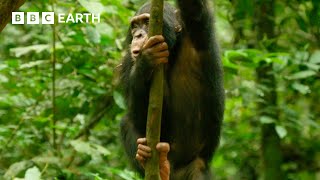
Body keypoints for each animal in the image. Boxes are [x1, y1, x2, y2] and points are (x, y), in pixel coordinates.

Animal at [119, 0, 224, 179]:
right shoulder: (127, 62)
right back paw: (160, 166)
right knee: (126, 123)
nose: (138, 35)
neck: (173, 48)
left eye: (147, 22)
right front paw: (146, 61)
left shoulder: (198, 27)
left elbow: (193, 7)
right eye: (135, 25)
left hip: (196, 167)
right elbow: (140, 118)